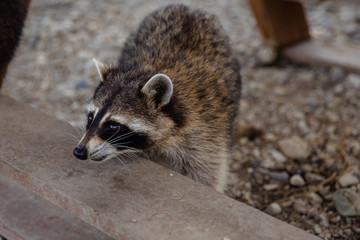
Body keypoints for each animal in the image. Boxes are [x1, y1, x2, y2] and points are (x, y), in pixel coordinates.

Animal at [73, 4, 240, 193]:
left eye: (112, 126)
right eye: (90, 117)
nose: (79, 152)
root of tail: (184, 7)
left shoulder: (207, 134)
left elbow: (206, 172)